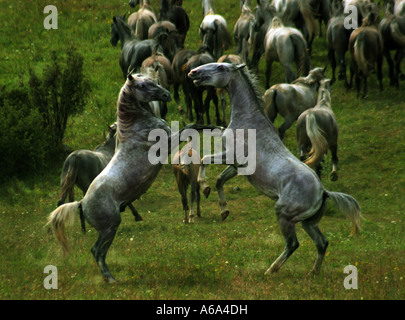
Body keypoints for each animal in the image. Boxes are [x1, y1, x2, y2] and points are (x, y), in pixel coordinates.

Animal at [47, 73, 172, 282]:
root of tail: (82, 203)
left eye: (152, 80)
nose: (166, 95)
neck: (137, 127)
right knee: (97, 251)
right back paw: (110, 279)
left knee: (96, 251)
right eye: (143, 85)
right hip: (109, 228)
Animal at [188, 62, 362, 276]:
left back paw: (270, 270)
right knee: (322, 243)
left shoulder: (230, 156)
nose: (193, 72)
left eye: (221, 67)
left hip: (284, 215)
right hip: (307, 222)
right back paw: (312, 273)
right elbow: (220, 180)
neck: (248, 121)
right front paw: (224, 210)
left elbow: (204, 160)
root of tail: (323, 192)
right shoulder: (237, 167)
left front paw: (204, 187)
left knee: (293, 244)